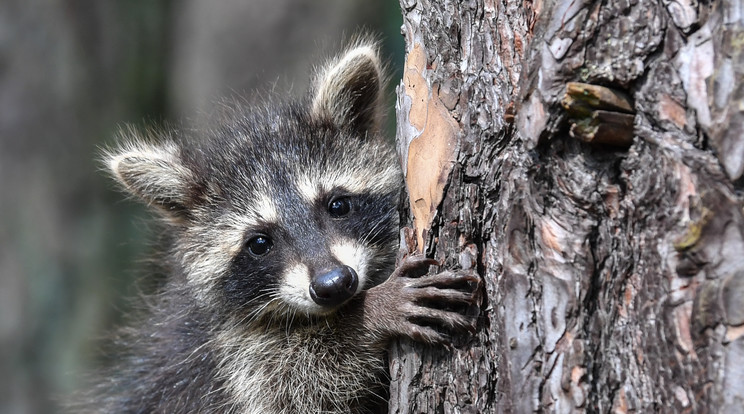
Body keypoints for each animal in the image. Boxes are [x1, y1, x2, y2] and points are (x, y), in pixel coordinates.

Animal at [93, 40, 480, 412]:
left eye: (338, 205)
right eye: (259, 243)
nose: (334, 284)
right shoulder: (230, 358)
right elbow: (291, 387)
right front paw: (368, 315)